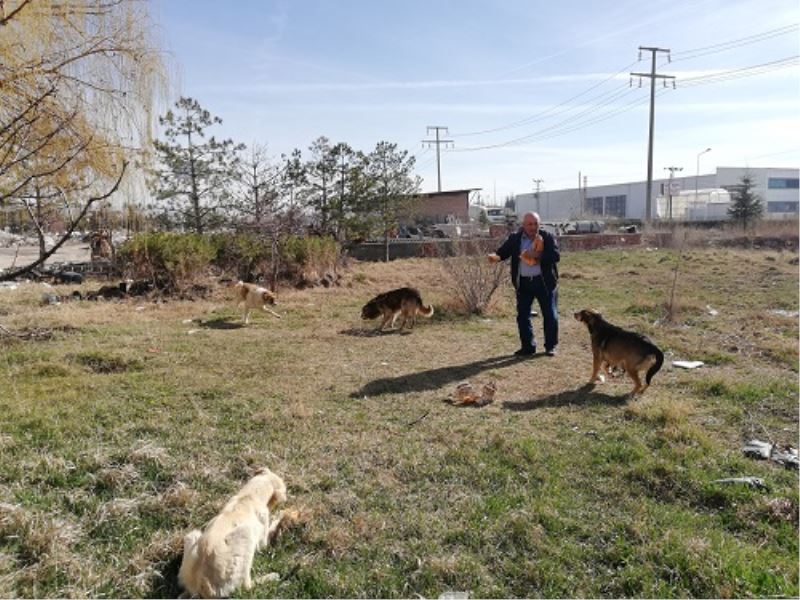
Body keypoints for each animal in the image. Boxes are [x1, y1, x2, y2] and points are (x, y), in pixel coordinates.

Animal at [178, 468, 296, 600]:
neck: (249, 496)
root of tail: (201, 584)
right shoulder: (263, 535)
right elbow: (271, 528)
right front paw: (282, 515)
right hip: (246, 535)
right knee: (246, 586)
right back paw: (271, 577)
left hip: (192, 535)